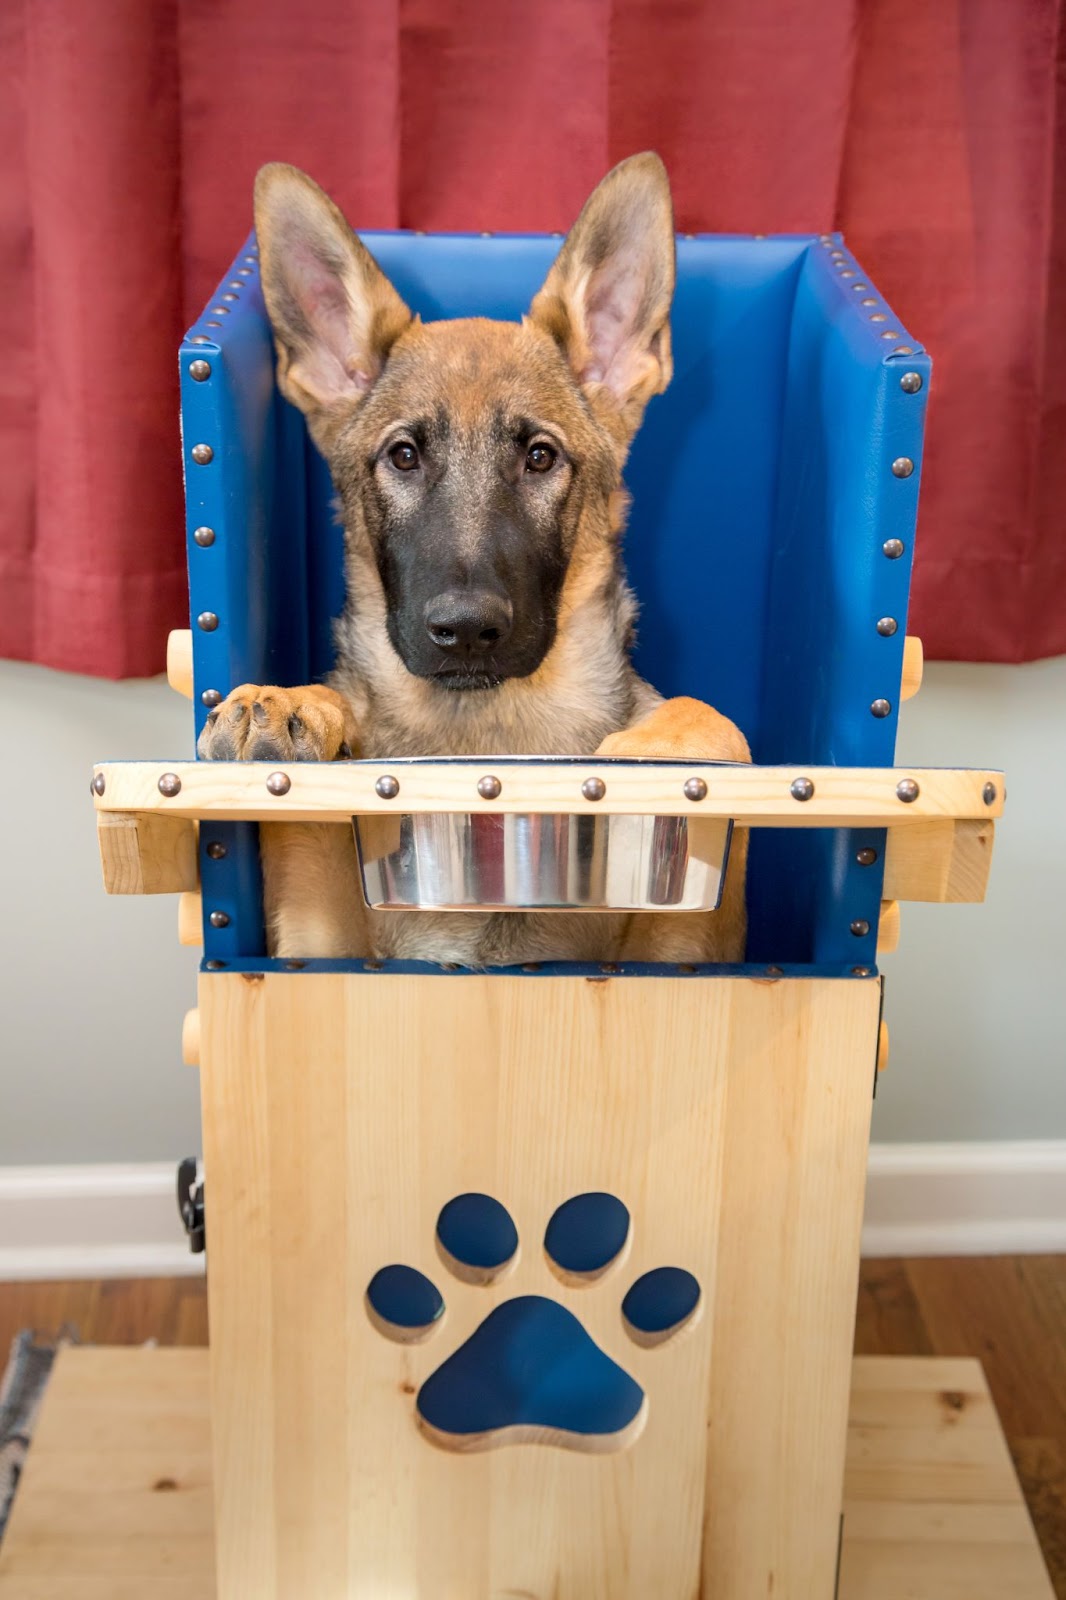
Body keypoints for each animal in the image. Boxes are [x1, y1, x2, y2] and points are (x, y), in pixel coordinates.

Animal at [196, 152, 745, 960]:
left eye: (540, 457)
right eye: (403, 455)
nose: (465, 630)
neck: (486, 727)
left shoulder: (696, 942)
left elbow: (714, 720)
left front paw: (663, 744)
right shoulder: (317, 933)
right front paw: (291, 701)